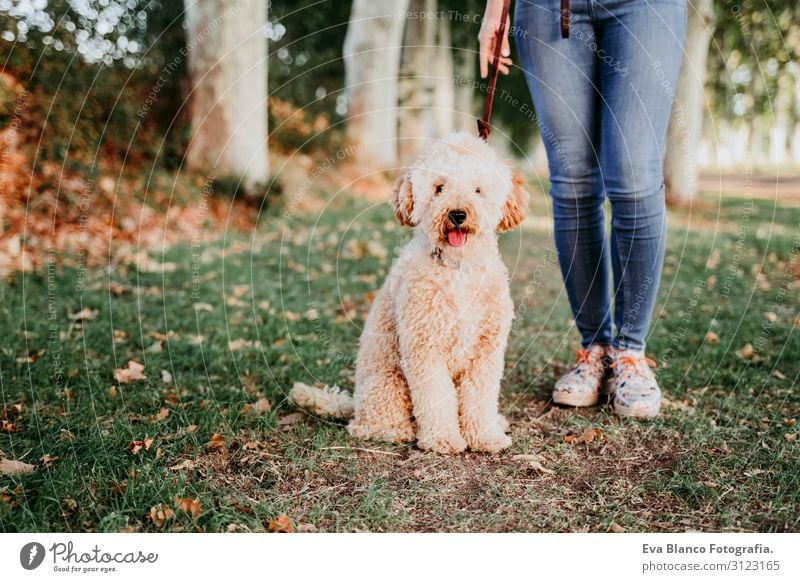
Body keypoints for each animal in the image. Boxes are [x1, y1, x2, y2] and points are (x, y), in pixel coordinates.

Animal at [346, 133, 528, 456]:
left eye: (477, 189)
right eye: (439, 188)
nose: (457, 214)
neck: (458, 269)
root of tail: (353, 406)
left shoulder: (486, 352)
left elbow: (480, 399)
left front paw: (485, 437)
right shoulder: (424, 348)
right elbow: (435, 399)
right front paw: (443, 439)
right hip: (387, 384)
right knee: (366, 426)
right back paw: (401, 431)